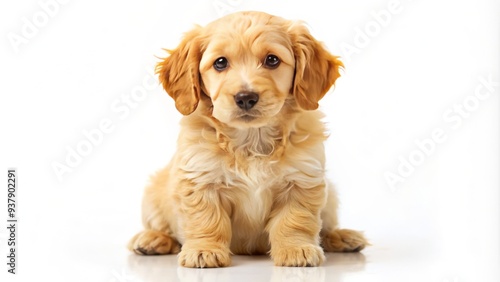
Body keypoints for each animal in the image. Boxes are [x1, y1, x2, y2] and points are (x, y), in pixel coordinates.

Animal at [127, 10, 366, 266]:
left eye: (272, 60)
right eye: (220, 62)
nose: (245, 97)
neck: (252, 139)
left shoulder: (302, 180)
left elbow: (295, 220)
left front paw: (297, 249)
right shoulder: (200, 179)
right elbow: (206, 219)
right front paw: (204, 250)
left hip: (330, 196)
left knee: (326, 226)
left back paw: (342, 236)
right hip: (153, 194)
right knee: (161, 227)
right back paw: (151, 239)